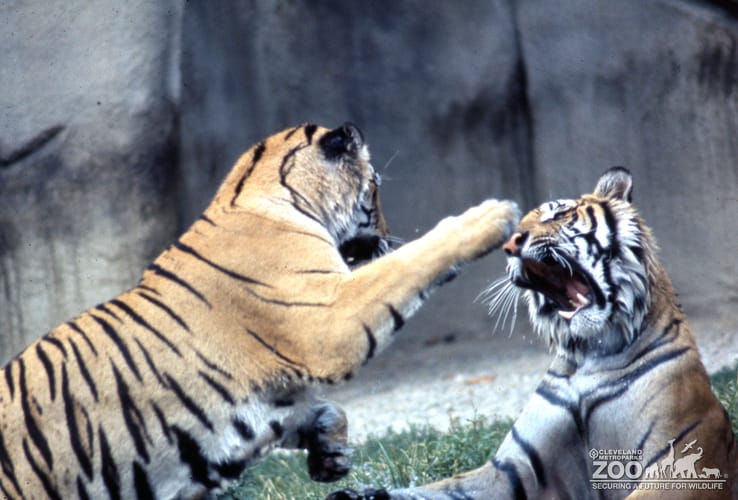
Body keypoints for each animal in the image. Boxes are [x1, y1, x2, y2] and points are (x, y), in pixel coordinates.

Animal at [0, 122, 520, 500]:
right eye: (375, 187)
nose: (387, 235)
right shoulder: (329, 317)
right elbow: (409, 262)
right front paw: (491, 215)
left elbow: (319, 410)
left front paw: (330, 453)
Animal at [329, 167, 737, 499]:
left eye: (558, 213)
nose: (511, 244)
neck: (589, 359)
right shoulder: (511, 471)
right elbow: (443, 489)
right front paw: (357, 494)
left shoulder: (677, 463)